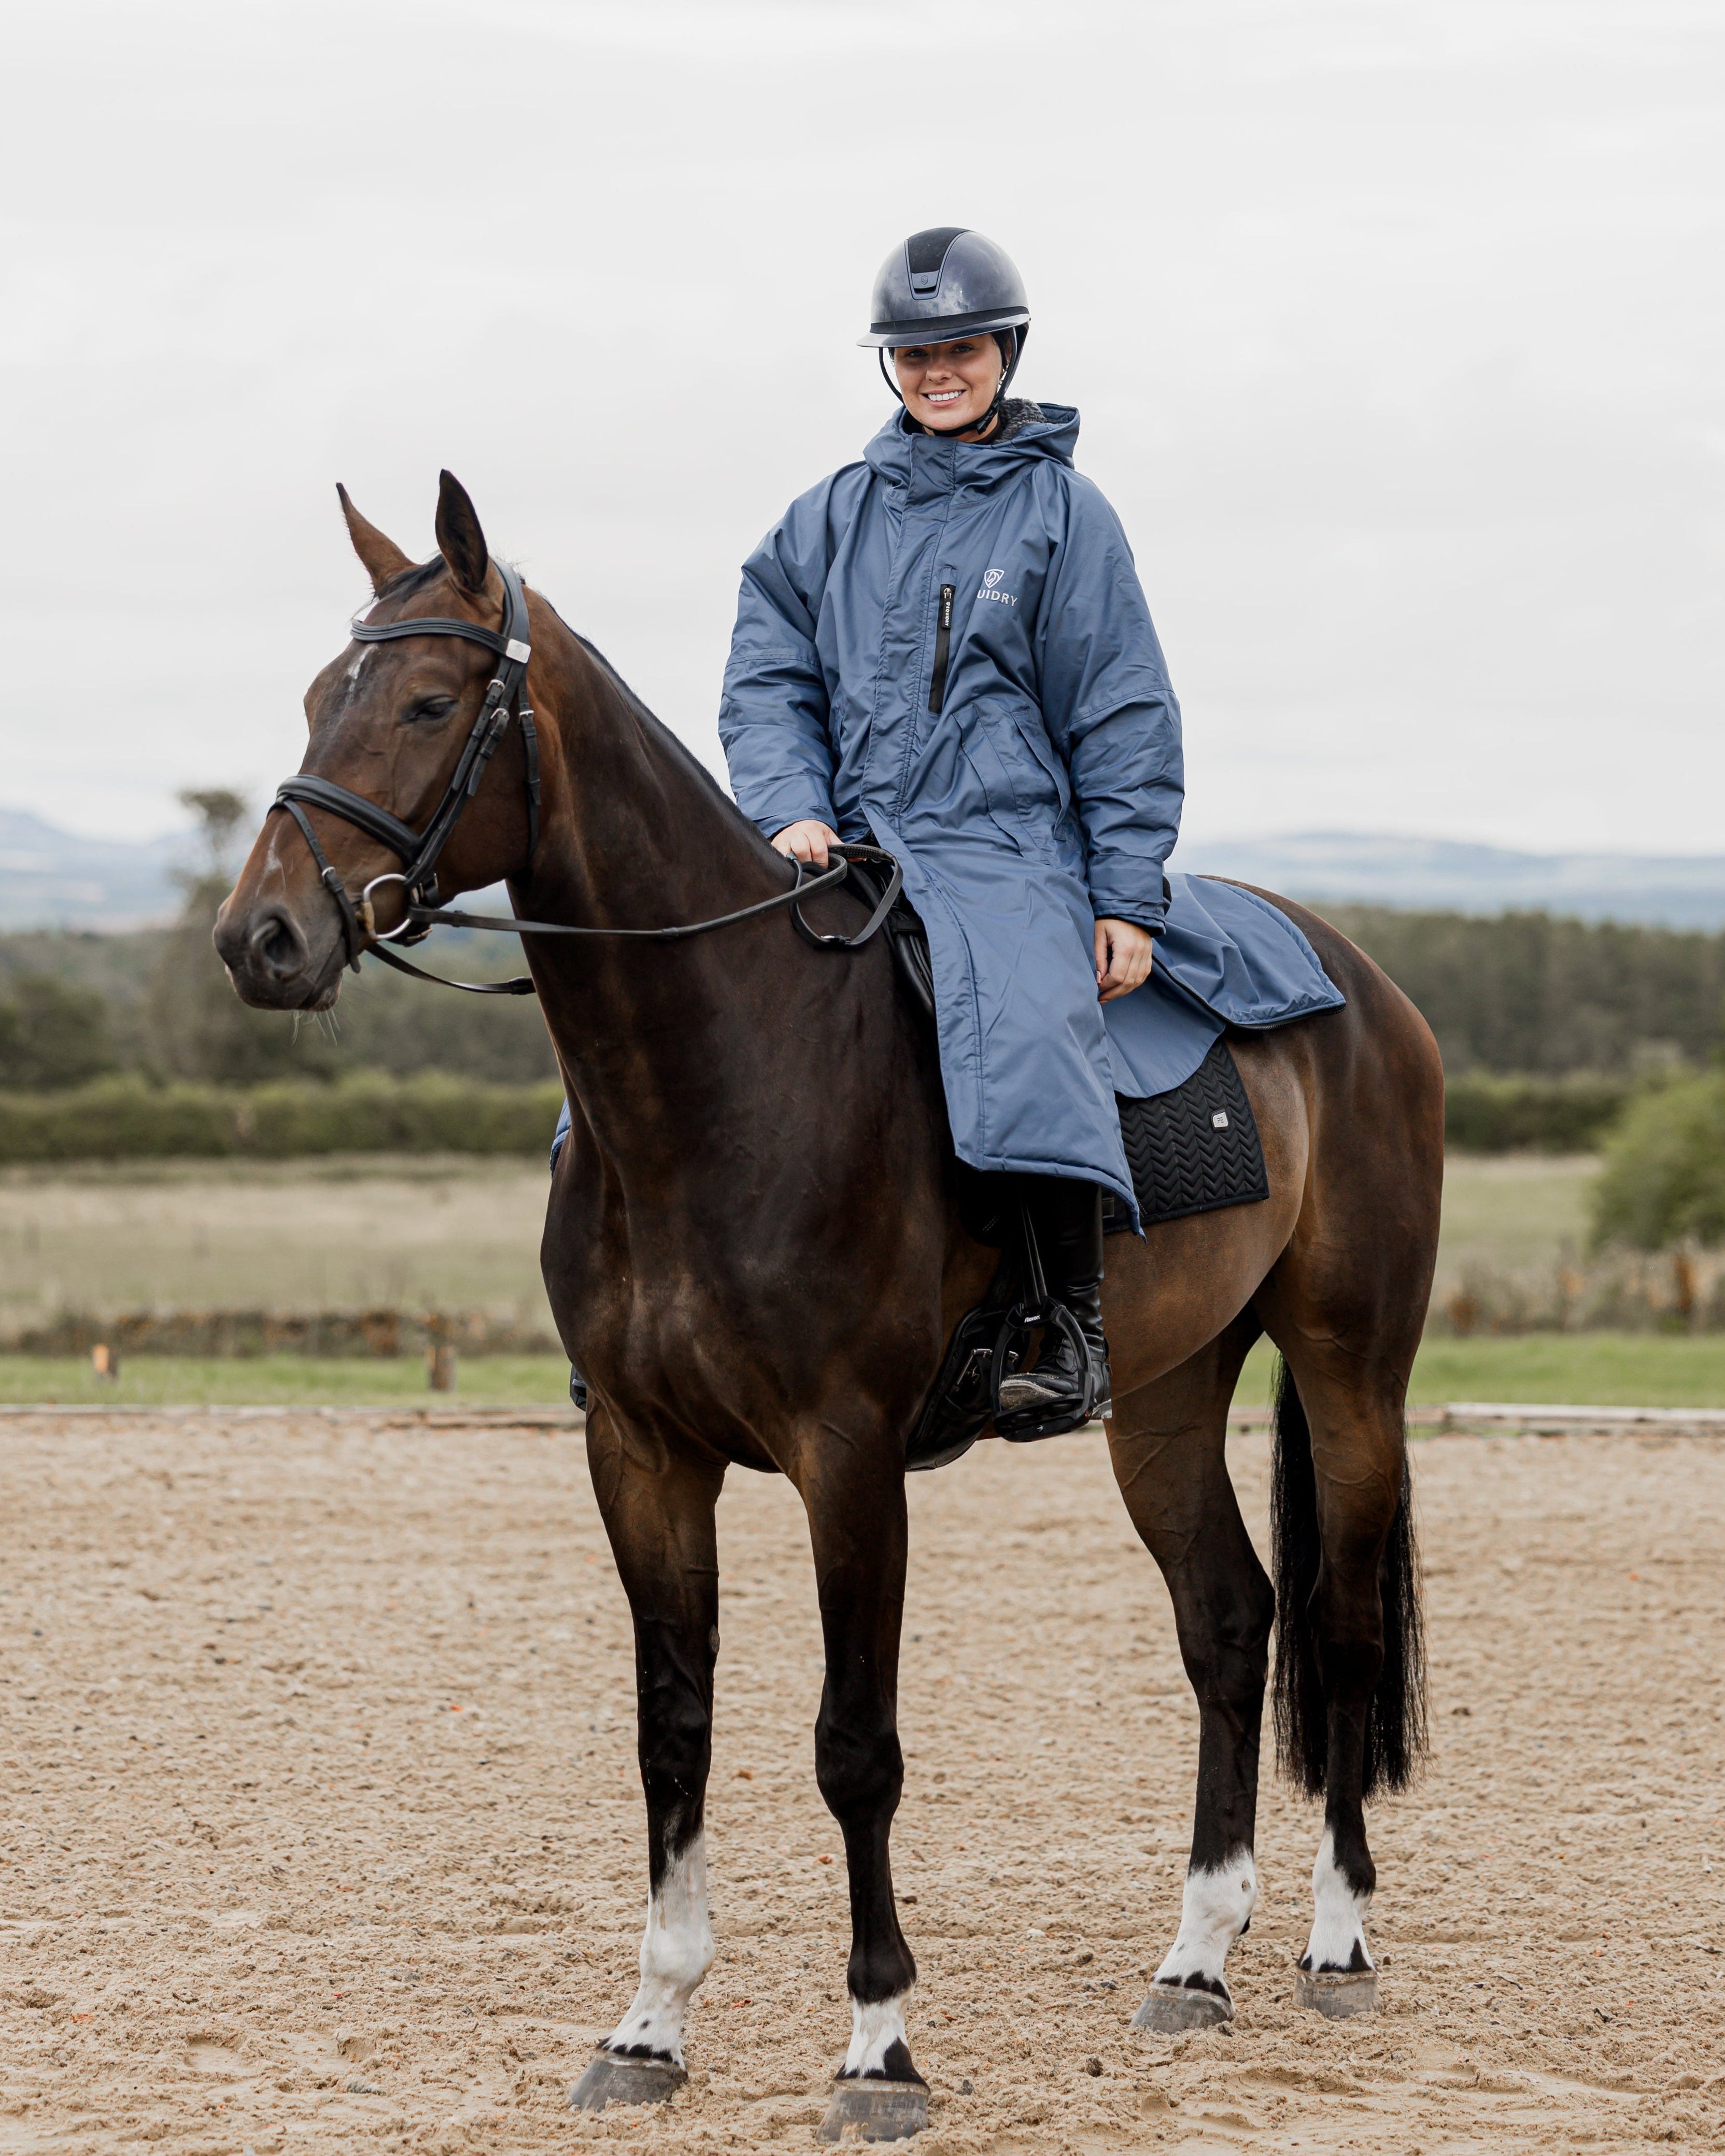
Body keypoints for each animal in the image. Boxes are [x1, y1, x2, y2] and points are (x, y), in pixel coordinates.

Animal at [216, 472, 1441, 2134]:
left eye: (421, 702)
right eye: (311, 698)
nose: (260, 939)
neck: (723, 1072)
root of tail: (1360, 981)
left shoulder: (847, 1461)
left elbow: (854, 1748)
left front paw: (878, 2044)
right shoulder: (641, 1456)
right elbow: (672, 1731)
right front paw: (650, 2027)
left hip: (1348, 1371)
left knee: (1341, 1623)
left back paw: (1335, 1943)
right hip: (1167, 1399)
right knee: (1229, 1621)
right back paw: (1196, 1959)